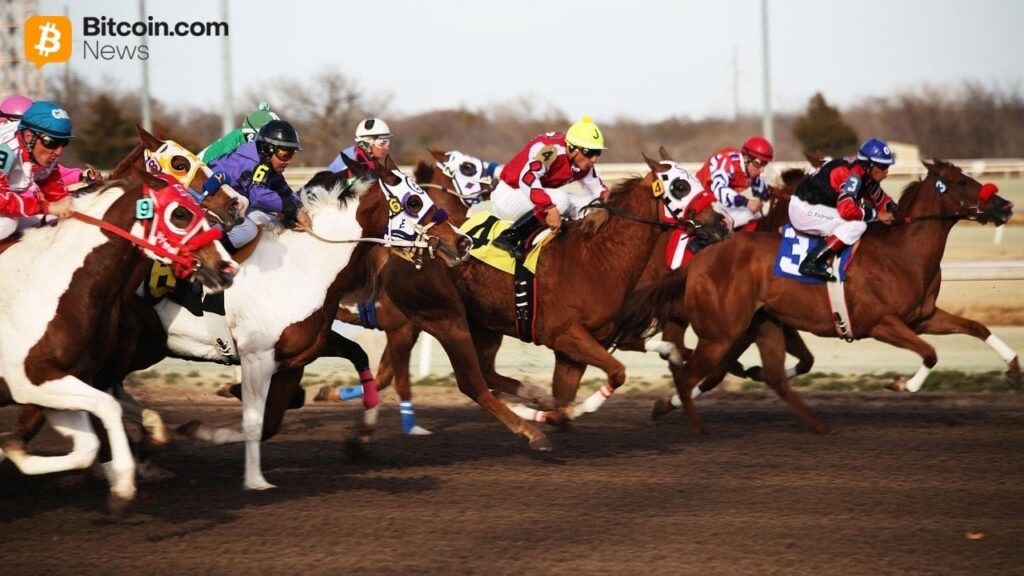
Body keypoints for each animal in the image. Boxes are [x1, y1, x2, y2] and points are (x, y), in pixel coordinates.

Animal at [0, 171, 237, 510]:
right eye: (180, 214)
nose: (227, 267)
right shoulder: (30, 382)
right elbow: (108, 408)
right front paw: (123, 481)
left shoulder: (61, 385)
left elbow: (87, 445)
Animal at [613, 159, 1015, 435]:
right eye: (962, 182)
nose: (1006, 206)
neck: (902, 253)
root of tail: (700, 261)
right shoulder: (879, 323)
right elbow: (930, 353)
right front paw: (902, 384)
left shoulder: (921, 317)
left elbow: (975, 327)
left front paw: (1013, 366)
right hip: (720, 327)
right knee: (690, 365)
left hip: (753, 322)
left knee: (748, 372)